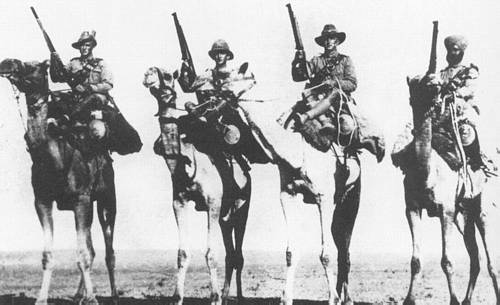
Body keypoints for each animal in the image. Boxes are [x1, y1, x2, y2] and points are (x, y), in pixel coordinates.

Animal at [0, 58, 119, 302]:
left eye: (36, 66)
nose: (7, 63)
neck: (55, 158)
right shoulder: (42, 201)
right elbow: (49, 254)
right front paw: (41, 299)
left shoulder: (81, 199)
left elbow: (83, 254)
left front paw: (93, 299)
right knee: (92, 249)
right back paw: (78, 295)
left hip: (106, 199)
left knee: (108, 249)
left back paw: (112, 296)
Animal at [143, 67, 252, 304]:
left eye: (168, 76)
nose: (149, 74)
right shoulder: (179, 202)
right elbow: (182, 252)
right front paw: (177, 297)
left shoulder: (213, 203)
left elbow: (211, 253)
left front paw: (214, 297)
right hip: (225, 216)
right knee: (231, 254)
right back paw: (226, 296)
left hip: (242, 206)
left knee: (238, 254)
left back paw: (236, 297)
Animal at [392, 74, 498, 304]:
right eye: (413, 87)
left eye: (432, 86)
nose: (423, 101)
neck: (426, 172)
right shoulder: (412, 208)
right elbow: (415, 260)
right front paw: (409, 299)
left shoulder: (446, 210)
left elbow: (447, 260)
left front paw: (454, 300)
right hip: (463, 217)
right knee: (475, 257)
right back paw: (467, 300)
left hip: (480, 210)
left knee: (490, 260)